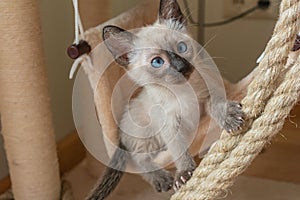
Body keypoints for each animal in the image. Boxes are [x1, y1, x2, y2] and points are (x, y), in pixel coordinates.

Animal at [85, 0, 245, 199]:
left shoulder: (209, 94)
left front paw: (230, 118)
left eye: (182, 47)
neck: (182, 91)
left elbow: (217, 106)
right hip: (147, 133)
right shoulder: (169, 125)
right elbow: (178, 149)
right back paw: (161, 179)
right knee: (139, 160)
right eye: (157, 62)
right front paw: (184, 173)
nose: (181, 67)